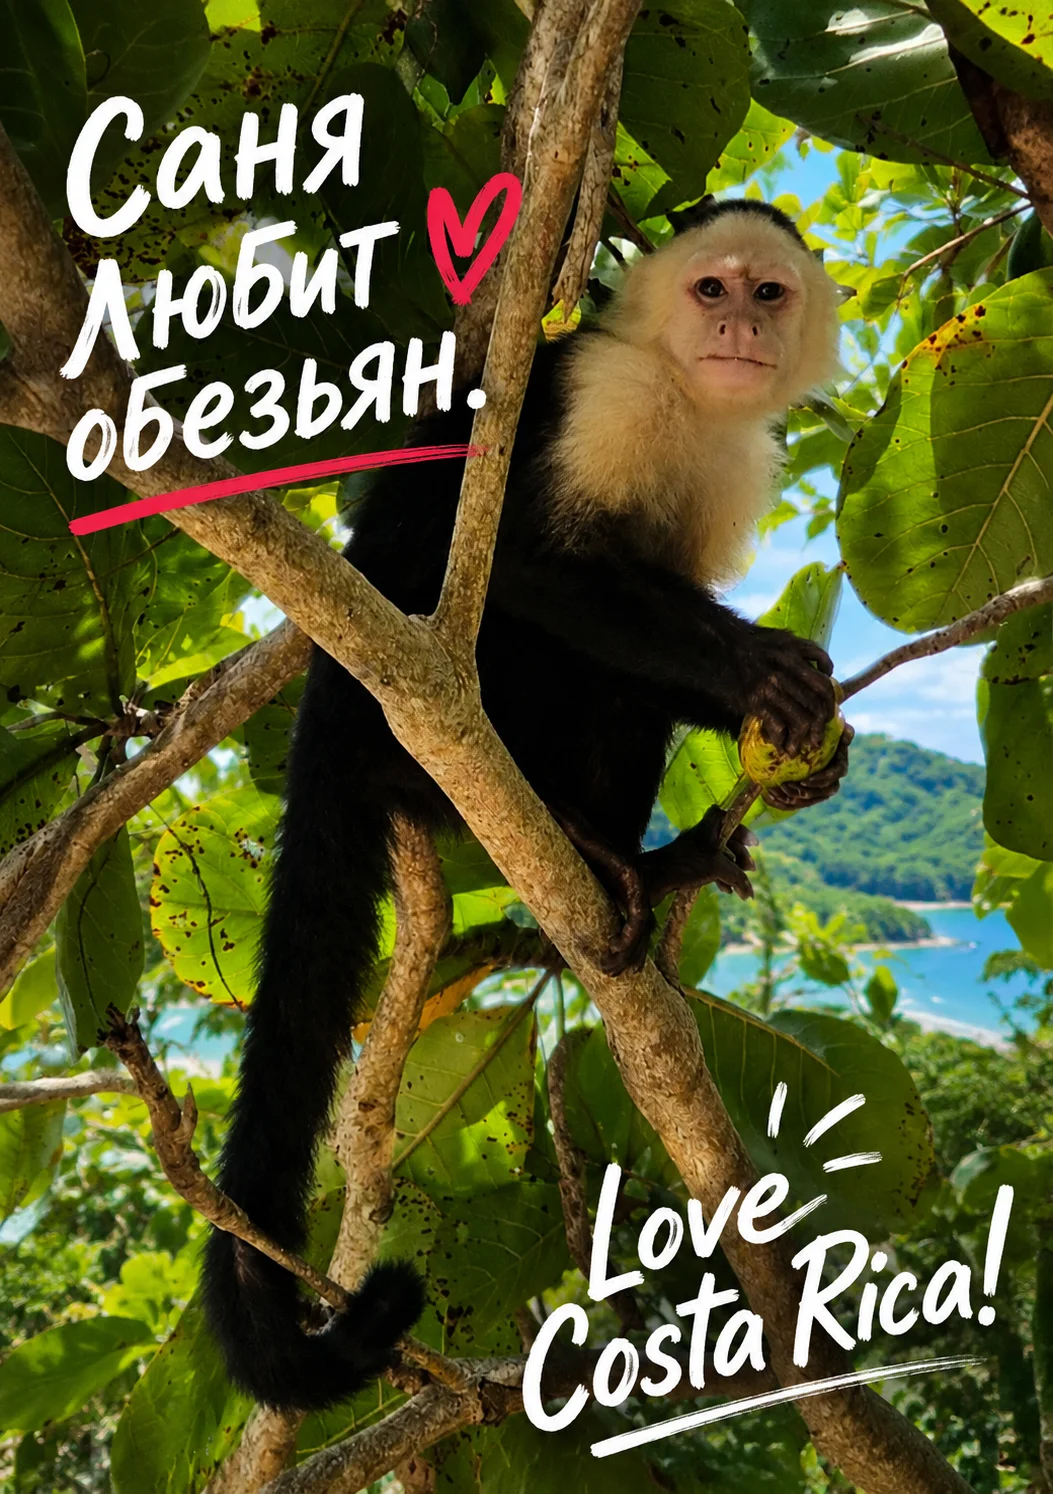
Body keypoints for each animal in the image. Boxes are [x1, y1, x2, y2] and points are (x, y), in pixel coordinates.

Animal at [202, 199, 851, 1412]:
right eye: (710, 288)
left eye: (769, 293)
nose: (739, 326)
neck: (686, 396)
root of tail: (332, 696)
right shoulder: (606, 388)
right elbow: (532, 564)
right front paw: (758, 669)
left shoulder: (736, 457)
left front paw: (790, 748)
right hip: (401, 707)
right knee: (512, 621)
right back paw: (571, 840)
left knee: (618, 684)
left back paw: (642, 863)